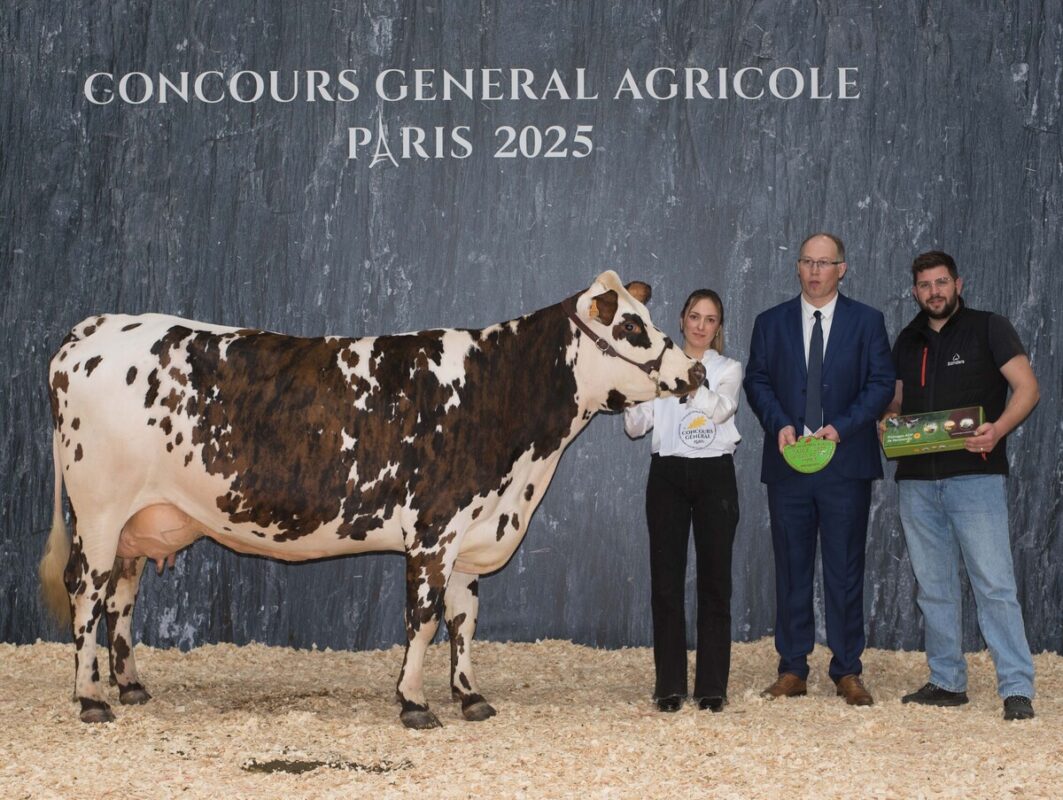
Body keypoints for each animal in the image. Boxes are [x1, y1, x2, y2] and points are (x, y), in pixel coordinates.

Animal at [39, 268, 705, 722]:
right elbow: (424, 619)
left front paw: (469, 696)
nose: (695, 371)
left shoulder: (473, 533)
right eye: (631, 326)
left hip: (137, 520)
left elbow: (464, 620)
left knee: (121, 596)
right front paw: (413, 703)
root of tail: (92, 329)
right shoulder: (434, 530)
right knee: (87, 592)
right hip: (98, 510)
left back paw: (129, 685)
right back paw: (90, 698)